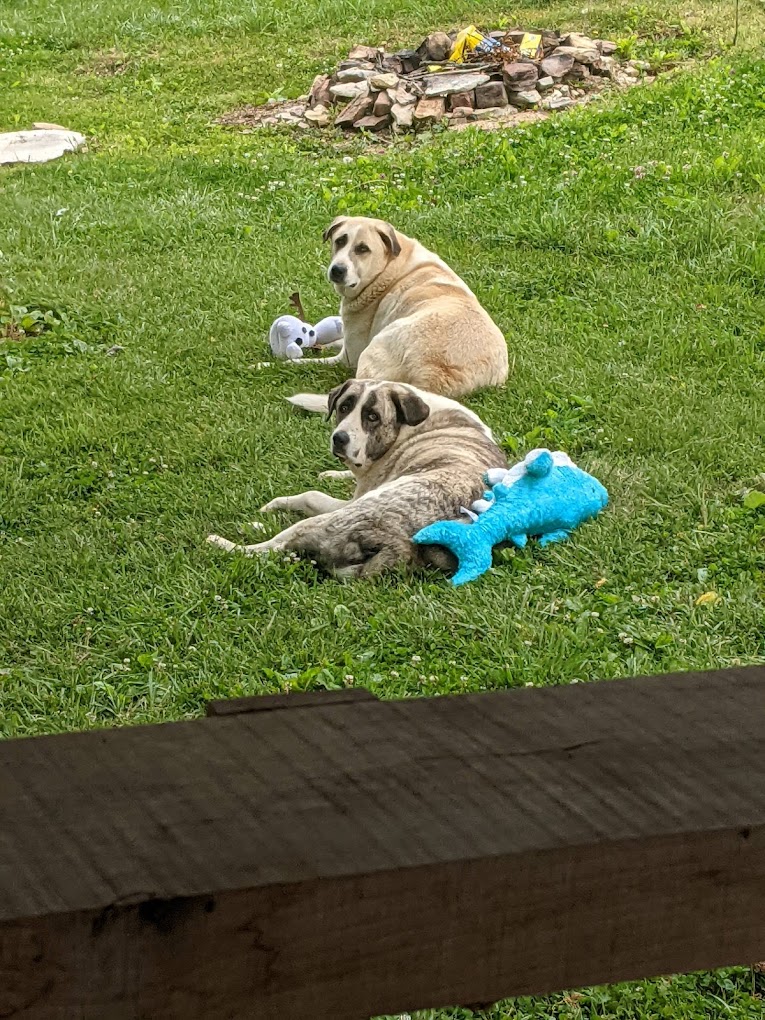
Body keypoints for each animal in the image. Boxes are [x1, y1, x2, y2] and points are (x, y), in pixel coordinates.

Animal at [207, 380, 507, 579]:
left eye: (372, 417)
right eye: (344, 407)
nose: (339, 438)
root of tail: (403, 546)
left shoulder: (352, 499)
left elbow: (311, 495)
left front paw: (275, 505)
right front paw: (331, 474)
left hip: (333, 520)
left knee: (268, 548)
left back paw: (226, 541)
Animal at [289, 217, 509, 413]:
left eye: (362, 249)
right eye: (340, 241)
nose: (337, 270)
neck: (389, 267)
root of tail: (430, 378)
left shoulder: (349, 355)